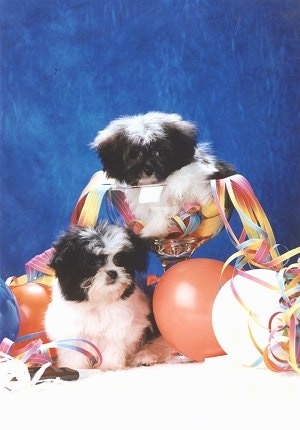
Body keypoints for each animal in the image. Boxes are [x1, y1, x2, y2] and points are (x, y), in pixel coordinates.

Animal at [44, 222, 176, 370]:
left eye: (118, 259)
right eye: (93, 263)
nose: (113, 273)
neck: (98, 302)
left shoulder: (118, 328)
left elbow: (113, 346)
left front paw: (110, 366)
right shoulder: (72, 330)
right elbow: (75, 353)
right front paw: (75, 367)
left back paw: (144, 357)